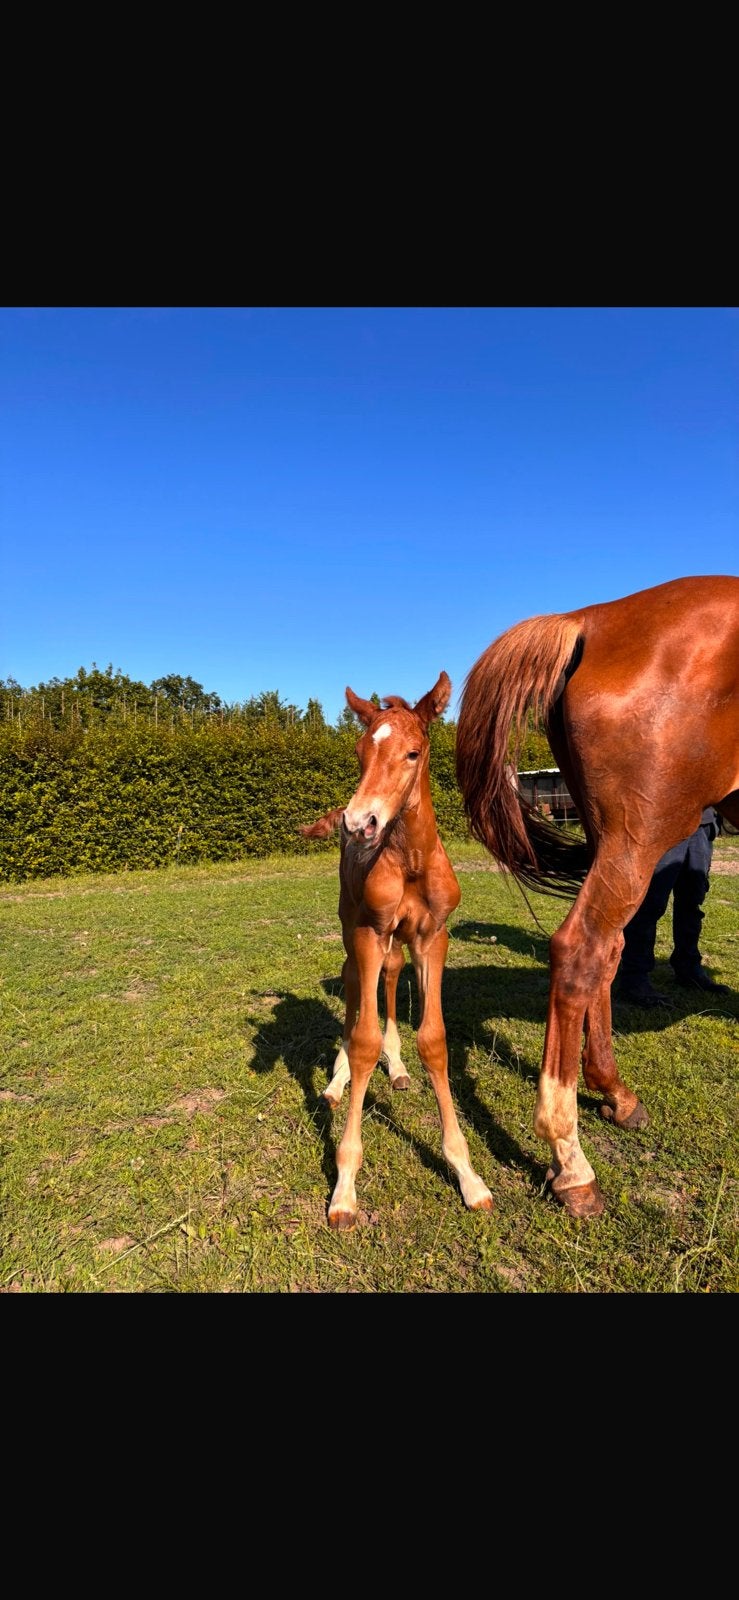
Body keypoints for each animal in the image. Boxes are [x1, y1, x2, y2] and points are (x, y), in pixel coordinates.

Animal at [301, 673, 493, 1229]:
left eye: (413, 752)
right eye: (361, 751)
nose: (358, 822)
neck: (409, 860)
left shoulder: (433, 937)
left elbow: (434, 1040)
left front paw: (468, 1176)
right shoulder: (370, 931)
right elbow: (362, 1039)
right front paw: (344, 1185)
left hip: (397, 945)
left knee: (388, 977)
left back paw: (398, 1066)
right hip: (353, 933)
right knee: (352, 989)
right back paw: (338, 1080)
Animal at [456, 575, 739, 1219]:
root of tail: (591, 617)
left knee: (607, 953)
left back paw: (615, 1093)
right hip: (639, 836)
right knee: (581, 951)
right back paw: (571, 1162)